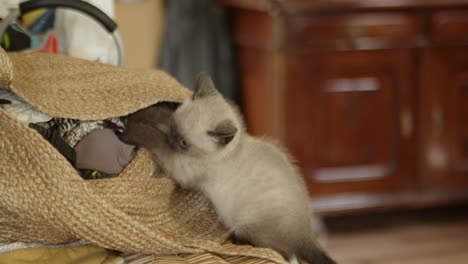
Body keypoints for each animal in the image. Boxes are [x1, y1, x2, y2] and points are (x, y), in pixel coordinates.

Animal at [124, 73, 334, 264]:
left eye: (184, 143)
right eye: (174, 125)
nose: (173, 140)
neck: (234, 149)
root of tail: (307, 234)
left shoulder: (180, 166)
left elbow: (155, 140)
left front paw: (130, 128)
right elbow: (160, 120)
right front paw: (140, 114)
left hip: (248, 224)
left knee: (284, 252)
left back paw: (239, 241)